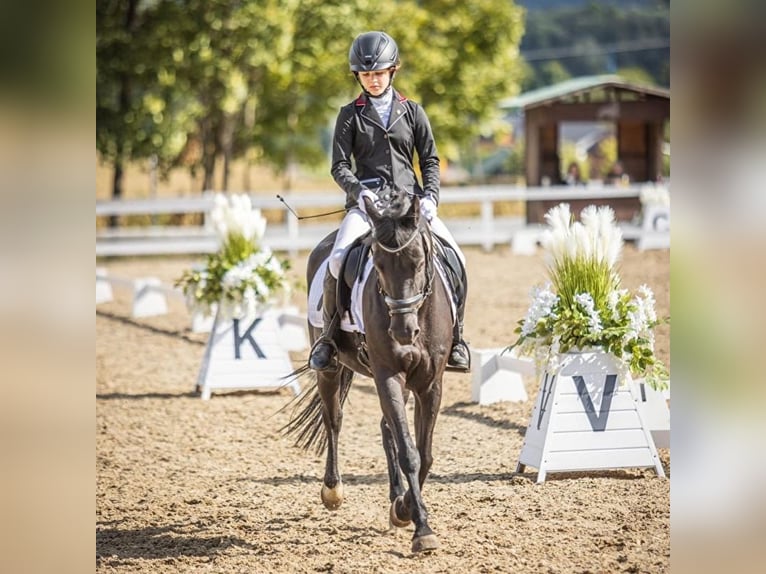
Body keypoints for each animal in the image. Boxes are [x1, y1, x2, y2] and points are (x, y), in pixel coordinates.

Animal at [286, 191, 456, 556]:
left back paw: (396, 495)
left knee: (385, 427)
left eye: (419, 262)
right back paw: (333, 491)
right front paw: (419, 525)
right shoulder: (387, 374)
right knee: (333, 420)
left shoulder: (430, 384)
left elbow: (424, 454)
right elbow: (410, 454)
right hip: (331, 368)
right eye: (377, 265)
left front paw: (405, 509)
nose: (403, 332)